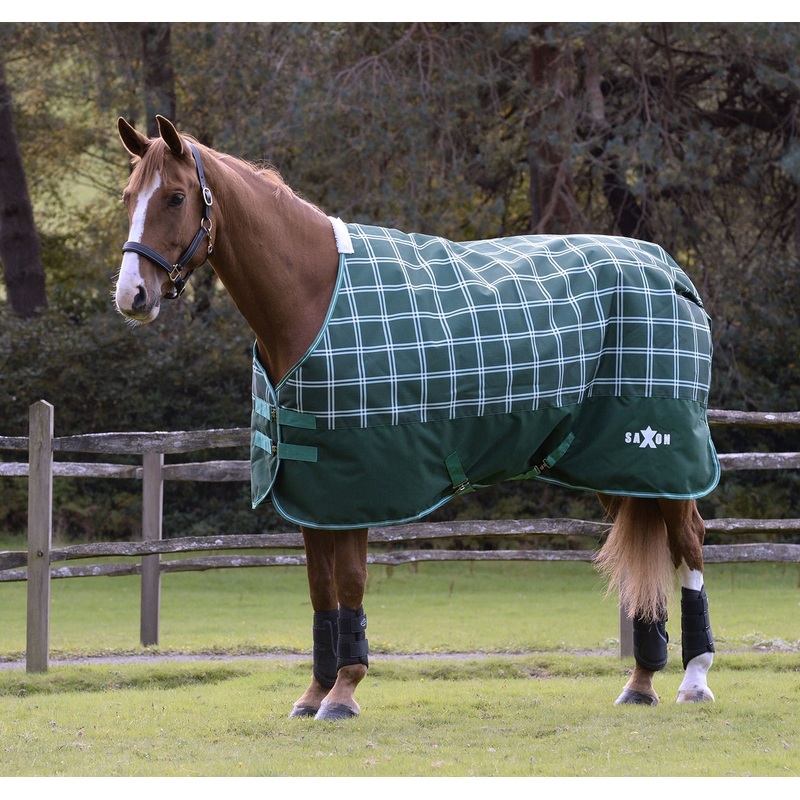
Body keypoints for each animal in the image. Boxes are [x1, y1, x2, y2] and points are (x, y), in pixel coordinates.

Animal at [113, 115, 719, 719]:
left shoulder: (351, 488)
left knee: (688, 540)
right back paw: (641, 682)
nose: (131, 296)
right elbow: (320, 590)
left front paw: (344, 691)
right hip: (614, 465)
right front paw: (314, 693)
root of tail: (669, 270)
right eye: (127, 197)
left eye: (175, 197)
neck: (311, 295)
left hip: (662, 456)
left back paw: (694, 677)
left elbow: (351, 582)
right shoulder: (312, 491)